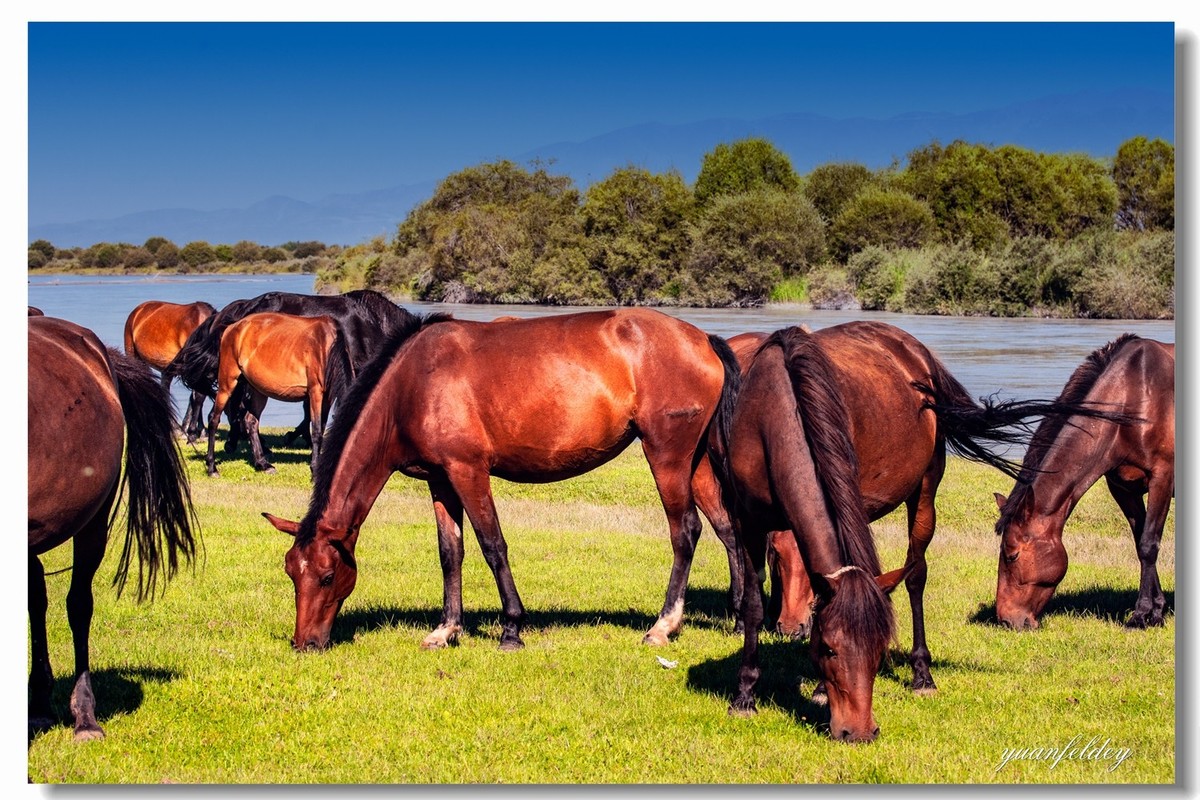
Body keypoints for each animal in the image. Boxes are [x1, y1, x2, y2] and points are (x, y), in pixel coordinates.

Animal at [266, 307, 744, 652]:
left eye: (327, 576)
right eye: (292, 573)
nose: (304, 643)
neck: (412, 384)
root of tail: (703, 340)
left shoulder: (468, 471)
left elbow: (492, 545)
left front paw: (511, 629)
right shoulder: (441, 481)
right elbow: (450, 553)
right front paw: (447, 629)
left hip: (667, 456)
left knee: (685, 531)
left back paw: (664, 625)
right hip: (696, 461)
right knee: (727, 529)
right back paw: (739, 618)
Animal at [993, 333, 1171, 633]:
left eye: (1012, 555)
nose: (1006, 620)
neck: (1135, 395)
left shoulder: (1162, 479)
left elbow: (1149, 545)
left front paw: (1142, 616)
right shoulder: (1124, 489)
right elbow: (1140, 543)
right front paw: (1156, 610)